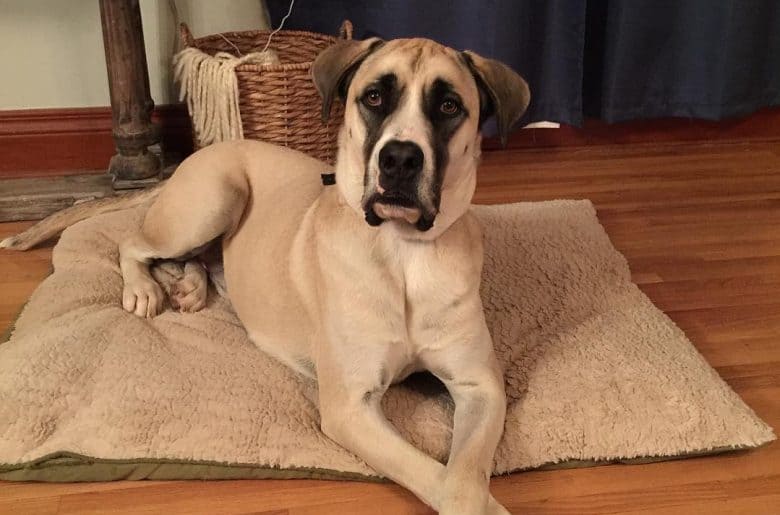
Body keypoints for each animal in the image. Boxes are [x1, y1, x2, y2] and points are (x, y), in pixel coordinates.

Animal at [1, 37, 532, 515]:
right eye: (374, 97)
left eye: (448, 105)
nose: (399, 158)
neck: (402, 252)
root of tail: (194, 157)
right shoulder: (350, 407)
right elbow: (436, 476)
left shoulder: (480, 386)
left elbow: (462, 477)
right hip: (214, 197)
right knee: (132, 242)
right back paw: (145, 290)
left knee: (200, 260)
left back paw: (190, 286)